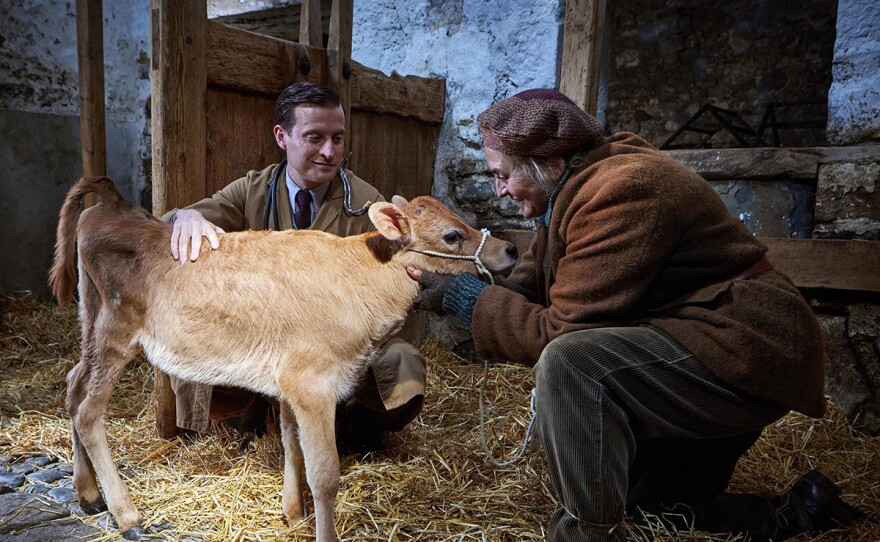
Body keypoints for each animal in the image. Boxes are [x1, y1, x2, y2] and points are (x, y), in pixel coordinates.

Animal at [49, 176, 516, 540]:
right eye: (452, 235)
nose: (509, 249)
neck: (362, 274)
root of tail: (114, 205)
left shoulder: (292, 380)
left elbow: (292, 443)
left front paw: (293, 514)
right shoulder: (313, 382)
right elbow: (325, 475)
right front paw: (322, 532)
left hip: (91, 322)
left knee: (73, 386)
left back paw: (88, 494)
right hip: (116, 330)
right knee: (88, 409)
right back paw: (125, 512)